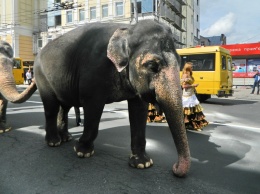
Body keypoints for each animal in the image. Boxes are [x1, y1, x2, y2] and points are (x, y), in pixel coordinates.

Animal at [33, 20, 190, 177]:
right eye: (152, 66)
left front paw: (142, 164)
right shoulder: (93, 70)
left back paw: (66, 138)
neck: (127, 30)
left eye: (180, 63)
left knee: (64, 107)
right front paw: (82, 152)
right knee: (51, 107)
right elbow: (93, 108)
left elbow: (139, 110)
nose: (175, 168)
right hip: (41, 76)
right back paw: (54, 142)